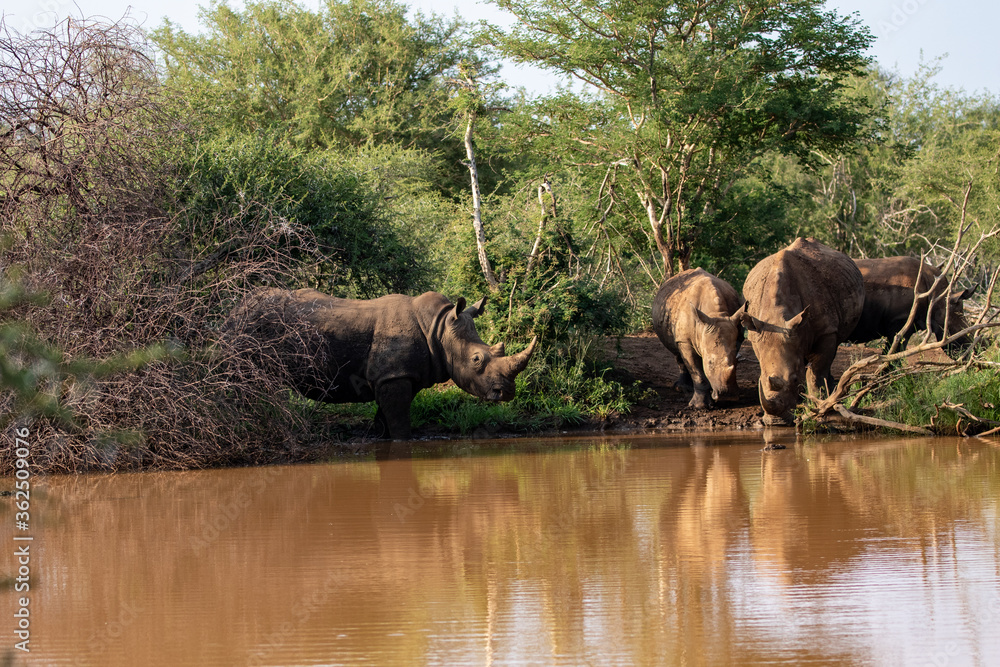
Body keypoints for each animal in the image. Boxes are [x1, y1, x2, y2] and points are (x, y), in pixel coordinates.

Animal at [226, 288, 537, 440]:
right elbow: (400, 424)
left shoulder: (400, 374)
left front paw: (381, 437)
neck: (439, 329)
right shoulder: (394, 376)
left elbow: (386, 419)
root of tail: (237, 305)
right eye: (476, 359)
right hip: (250, 327)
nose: (507, 393)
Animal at [651, 268, 746, 409]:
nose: (728, 395)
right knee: (678, 353)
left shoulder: (736, 333)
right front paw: (700, 406)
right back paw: (683, 389)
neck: (716, 314)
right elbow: (697, 372)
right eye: (710, 363)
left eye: (737, 362)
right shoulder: (685, 341)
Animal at [740, 238, 864, 425]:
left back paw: (830, 389)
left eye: (795, 379)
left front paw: (818, 400)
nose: (776, 422)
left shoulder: (827, 330)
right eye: (761, 378)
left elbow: (817, 369)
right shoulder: (759, 333)